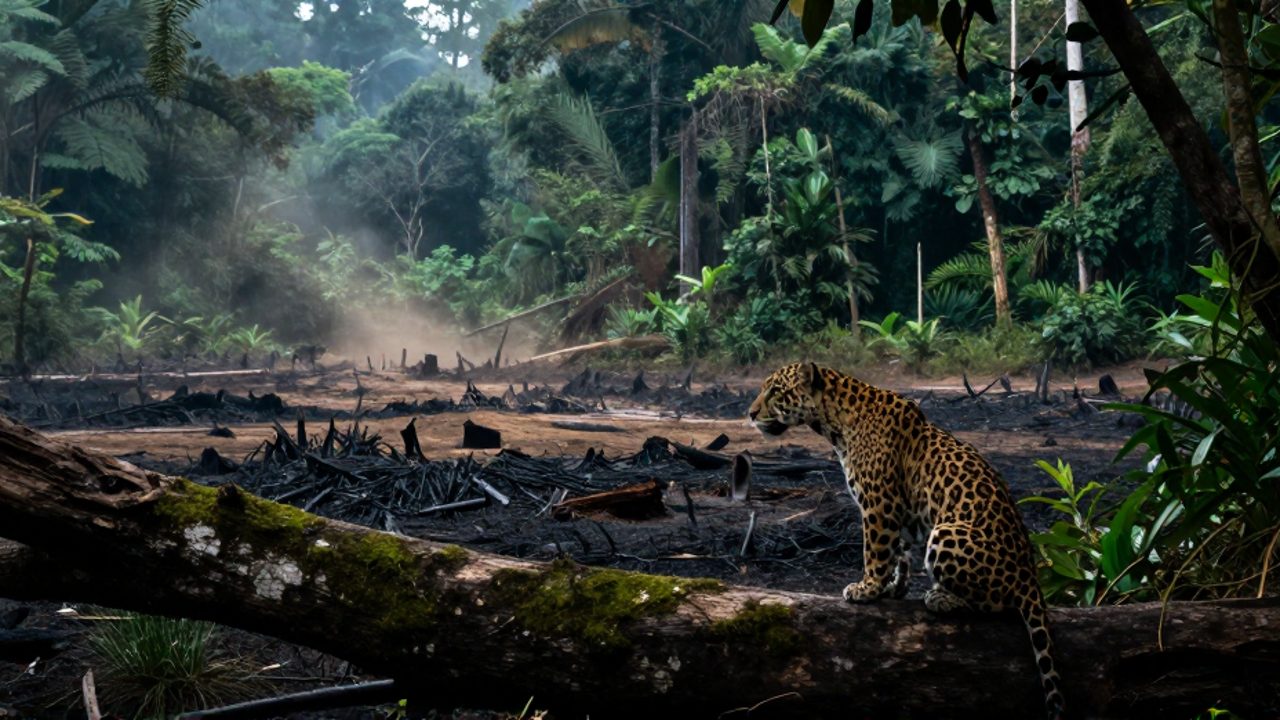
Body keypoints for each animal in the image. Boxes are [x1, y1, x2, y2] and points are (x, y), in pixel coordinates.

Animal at [748, 362, 1066, 720]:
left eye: (775, 391)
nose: (750, 414)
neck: (834, 423)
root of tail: (1031, 577)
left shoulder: (879, 503)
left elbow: (874, 551)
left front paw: (866, 589)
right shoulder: (897, 511)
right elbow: (898, 553)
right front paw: (891, 588)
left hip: (946, 533)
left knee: (999, 604)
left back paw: (941, 597)